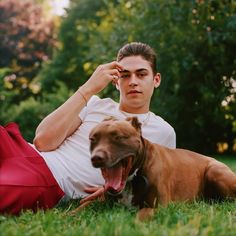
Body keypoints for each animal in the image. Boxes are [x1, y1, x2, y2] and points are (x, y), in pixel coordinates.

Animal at [88, 117, 236, 220]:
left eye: (119, 137)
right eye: (92, 139)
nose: (97, 158)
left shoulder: (159, 207)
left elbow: (141, 215)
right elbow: (84, 206)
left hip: (214, 171)